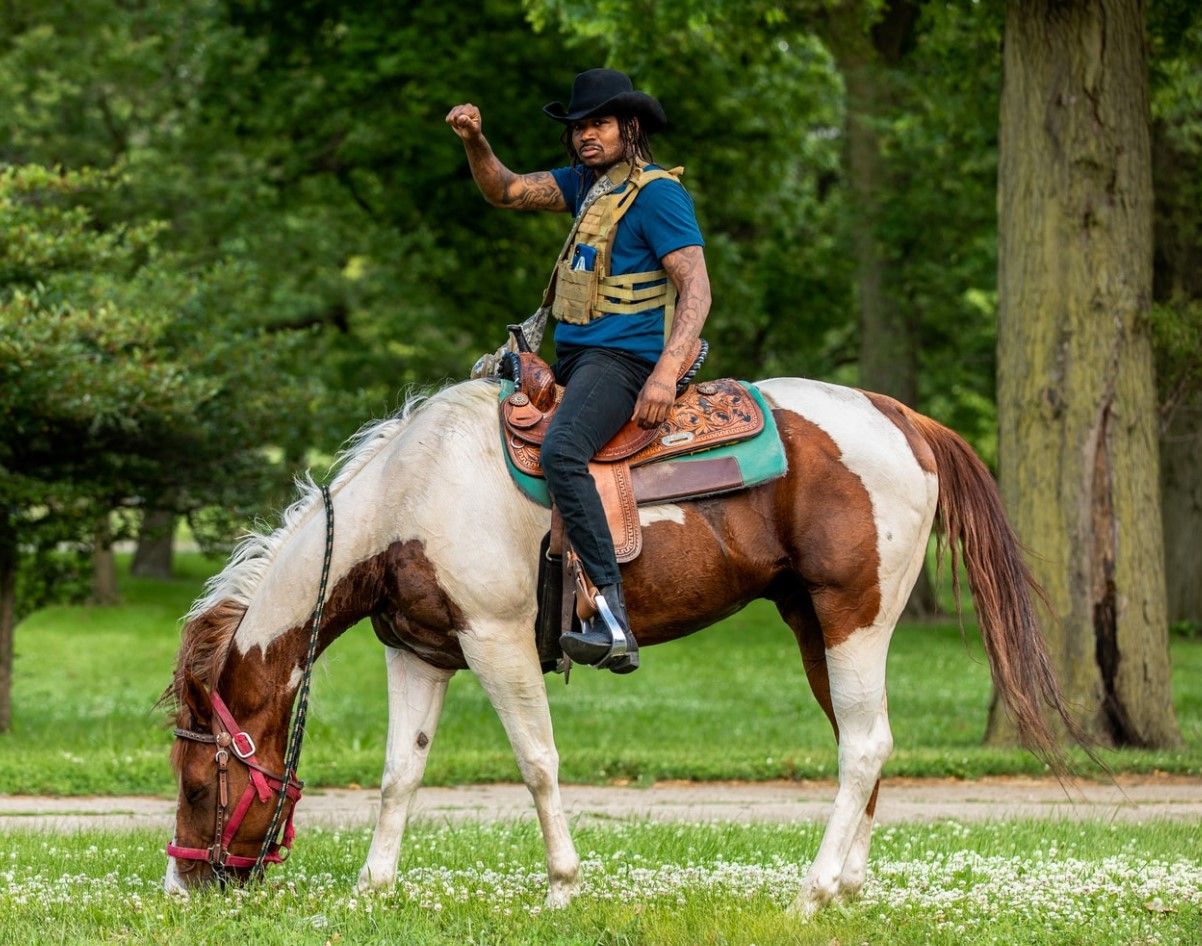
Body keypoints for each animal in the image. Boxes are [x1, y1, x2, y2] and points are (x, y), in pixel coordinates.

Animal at [159, 375, 1072, 918]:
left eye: (201, 779)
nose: (183, 885)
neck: (410, 500)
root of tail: (902, 418)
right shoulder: (420, 654)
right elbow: (400, 773)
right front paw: (371, 889)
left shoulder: (495, 641)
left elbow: (537, 762)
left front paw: (563, 887)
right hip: (813, 624)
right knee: (864, 740)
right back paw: (846, 888)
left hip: (856, 616)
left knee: (863, 746)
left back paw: (811, 895)